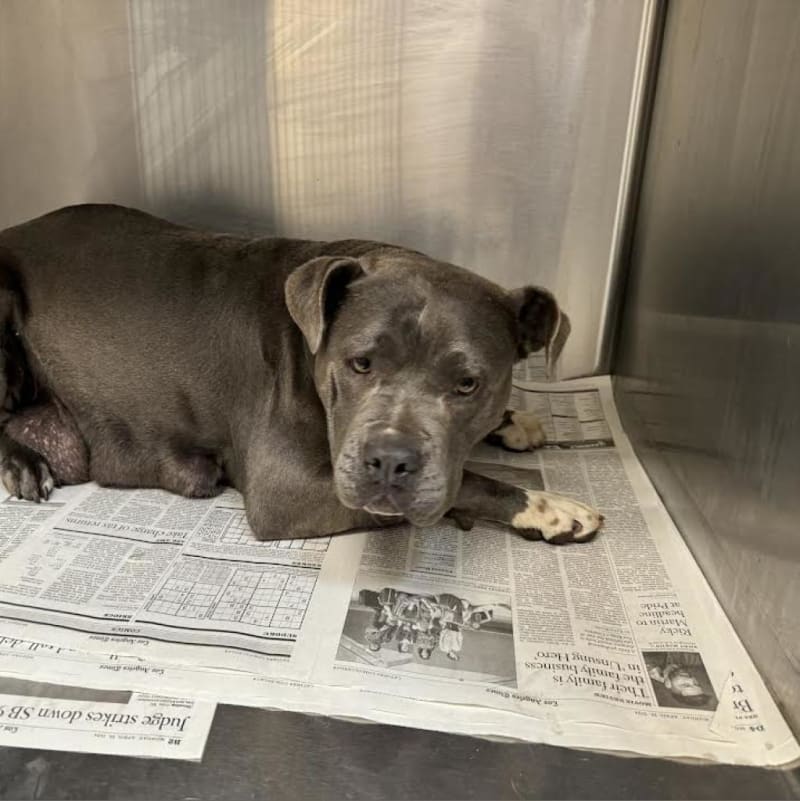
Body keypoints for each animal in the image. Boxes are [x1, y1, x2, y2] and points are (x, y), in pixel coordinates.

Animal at [0, 204, 603, 545]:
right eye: (360, 363)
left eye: (468, 384)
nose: (390, 461)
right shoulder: (287, 491)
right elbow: (466, 485)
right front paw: (546, 508)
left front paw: (514, 420)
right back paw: (23, 464)